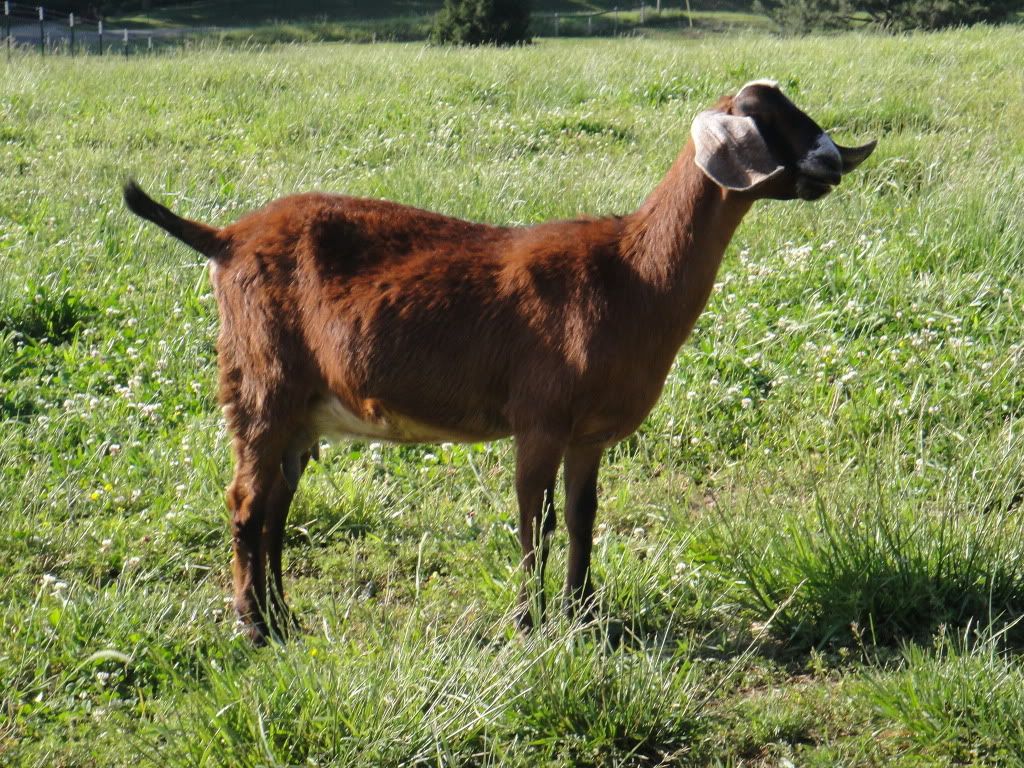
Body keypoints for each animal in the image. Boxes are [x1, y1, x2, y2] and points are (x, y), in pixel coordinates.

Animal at [124, 80, 876, 643]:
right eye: (765, 120)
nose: (832, 160)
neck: (630, 273)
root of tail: (225, 239)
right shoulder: (538, 420)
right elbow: (534, 523)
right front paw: (527, 622)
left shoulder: (588, 435)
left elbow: (582, 516)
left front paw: (584, 616)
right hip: (261, 384)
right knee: (246, 505)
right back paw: (254, 628)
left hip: (301, 410)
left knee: (276, 508)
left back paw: (285, 621)